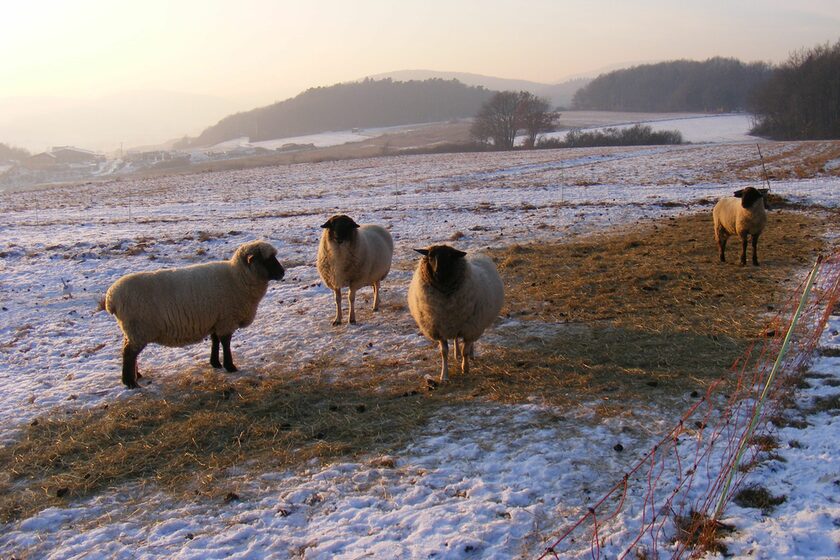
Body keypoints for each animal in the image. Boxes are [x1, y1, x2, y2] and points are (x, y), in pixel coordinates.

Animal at [104, 241, 286, 390]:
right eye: (267, 260)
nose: (283, 273)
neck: (238, 277)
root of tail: (111, 297)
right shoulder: (226, 319)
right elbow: (225, 342)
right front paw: (230, 366)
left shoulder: (216, 319)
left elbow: (215, 340)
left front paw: (215, 363)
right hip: (138, 329)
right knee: (129, 353)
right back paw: (130, 383)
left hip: (132, 330)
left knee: (129, 351)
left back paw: (136, 376)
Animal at [408, 246, 502, 384]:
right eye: (430, 256)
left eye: (450, 256)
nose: (438, 273)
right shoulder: (439, 329)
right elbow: (444, 352)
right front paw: (444, 376)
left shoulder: (470, 328)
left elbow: (465, 351)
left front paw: (465, 368)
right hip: (455, 324)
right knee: (456, 339)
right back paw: (456, 353)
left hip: (473, 324)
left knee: (469, 343)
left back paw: (471, 354)